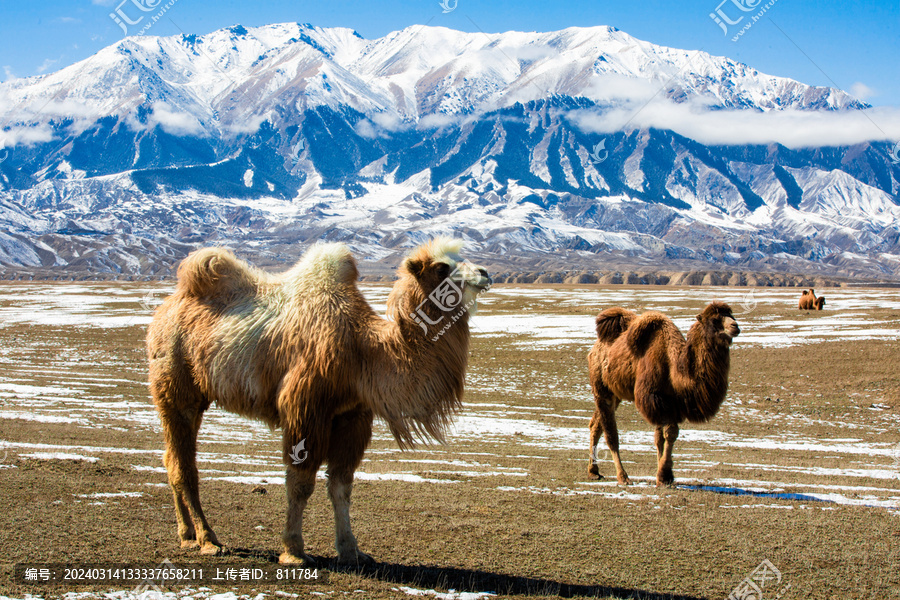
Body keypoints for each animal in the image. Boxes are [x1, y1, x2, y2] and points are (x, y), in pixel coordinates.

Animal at [146, 238, 492, 564]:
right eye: (441, 267)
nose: (485, 273)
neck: (363, 348)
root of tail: (163, 313)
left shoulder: (353, 416)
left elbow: (342, 485)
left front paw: (351, 550)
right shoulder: (305, 406)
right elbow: (300, 483)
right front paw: (294, 550)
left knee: (170, 459)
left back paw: (187, 535)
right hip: (175, 390)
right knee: (184, 465)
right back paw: (208, 539)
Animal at [588, 302, 740, 486]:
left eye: (732, 315)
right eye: (715, 320)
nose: (735, 327)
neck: (674, 367)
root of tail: (595, 348)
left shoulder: (671, 402)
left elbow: (661, 438)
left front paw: (663, 476)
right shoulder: (655, 398)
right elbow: (671, 432)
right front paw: (665, 475)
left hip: (615, 393)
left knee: (596, 424)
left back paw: (593, 472)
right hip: (601, 387)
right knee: (610, 432)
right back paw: (622, 476)